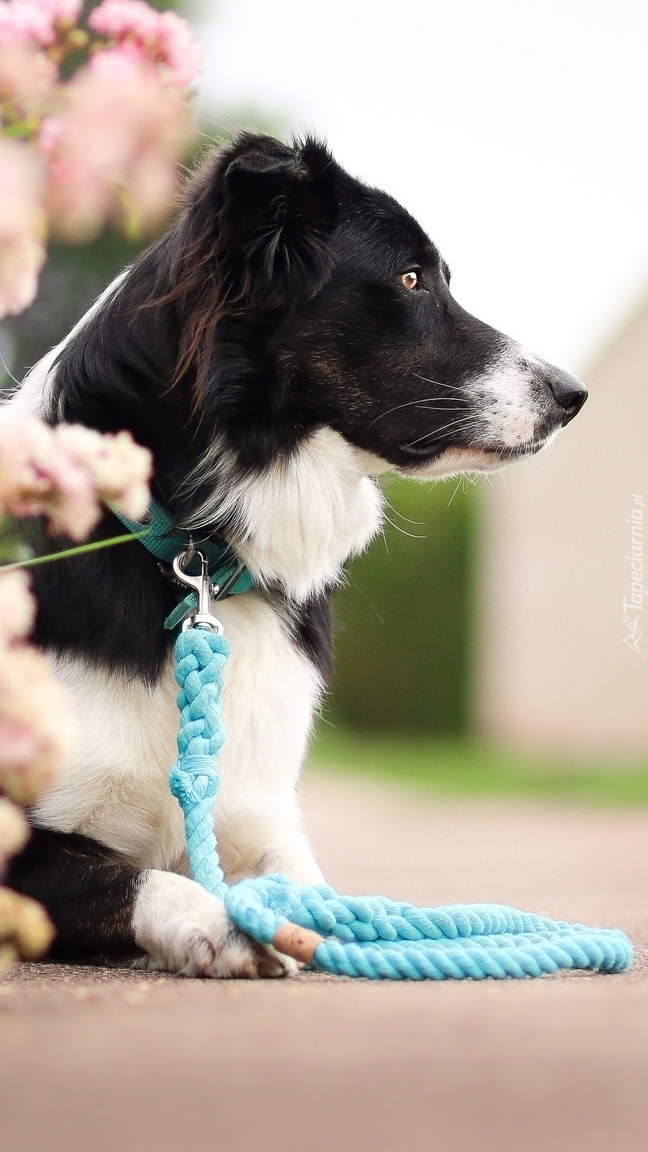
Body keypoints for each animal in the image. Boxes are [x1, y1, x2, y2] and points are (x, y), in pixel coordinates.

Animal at [5, 132, 585, 981]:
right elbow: (132, 876)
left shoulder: (258, 812)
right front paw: (219, 922)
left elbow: (307, 882)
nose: (572, 395)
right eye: (410, 279)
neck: (194, 551)